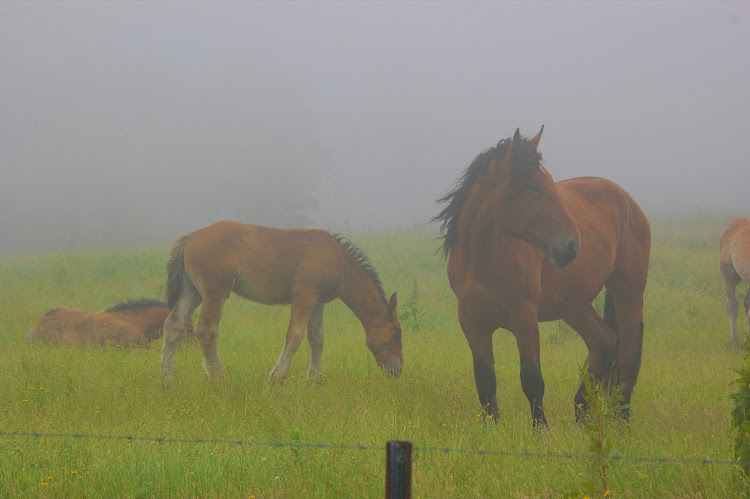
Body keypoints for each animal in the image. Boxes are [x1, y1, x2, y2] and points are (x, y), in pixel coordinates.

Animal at [434, 127, 652, 428]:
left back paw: (621, 421)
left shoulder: (525, 318)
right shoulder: (472, 322)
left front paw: (541, 430)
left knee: (627, 358)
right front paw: (491, 428)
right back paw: (581, 412)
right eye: (534, 187)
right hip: (574, 306)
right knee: (605, 343)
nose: (572, 245)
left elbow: (532, 380)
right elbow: (485, 382)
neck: (482, 259)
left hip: (627, 292)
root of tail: (628, 202)